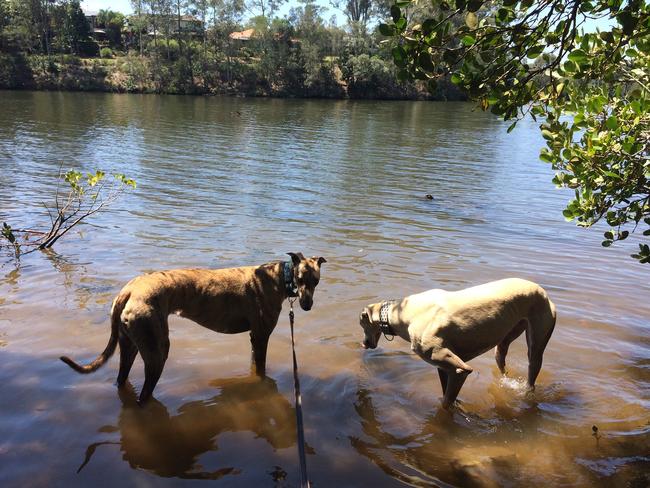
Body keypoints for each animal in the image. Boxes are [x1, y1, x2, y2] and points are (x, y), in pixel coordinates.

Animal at [60, 252, 324, 404]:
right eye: (301, 279)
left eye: (316, 281)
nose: (307, 305)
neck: (279, 276)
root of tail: (130, 289)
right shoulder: (261, 336)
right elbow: (259, 371)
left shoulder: (253, 338)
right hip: (157, 351)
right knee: (144, 396)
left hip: (130, 346)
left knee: (122, 378)